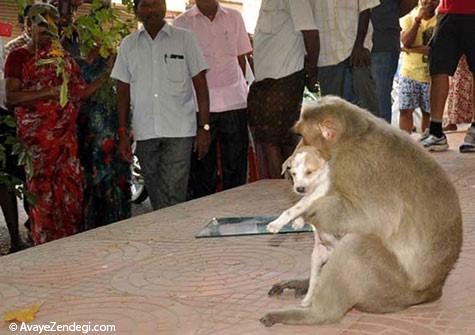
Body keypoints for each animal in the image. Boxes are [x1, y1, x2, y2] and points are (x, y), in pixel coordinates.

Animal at [268, 146, 338, 308]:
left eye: (309, 172)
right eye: (293, 174)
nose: (299, 188)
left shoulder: (316, 194)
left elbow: (293, 209)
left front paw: (275, 224)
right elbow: (300, 209)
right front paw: (298, 222)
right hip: (316, 259)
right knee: (314, 282)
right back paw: (307, 300)